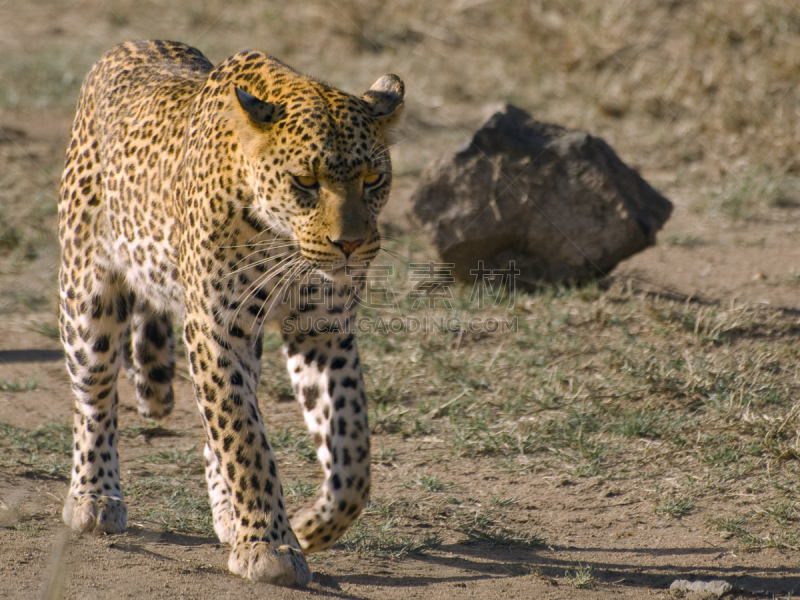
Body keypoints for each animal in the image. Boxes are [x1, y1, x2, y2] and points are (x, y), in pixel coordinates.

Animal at [57, 41, 400, 584]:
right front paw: (270, 547)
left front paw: (310, 525)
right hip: (88, 295)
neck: (283, 241)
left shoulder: (324, 330)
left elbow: (351, 450)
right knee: (94, 398)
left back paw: (226, 512)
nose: (349, 246)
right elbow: (244, 438)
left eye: (373, 180)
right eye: (305, 182)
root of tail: (128, 46)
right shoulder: (216, 327)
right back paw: (94, 496)